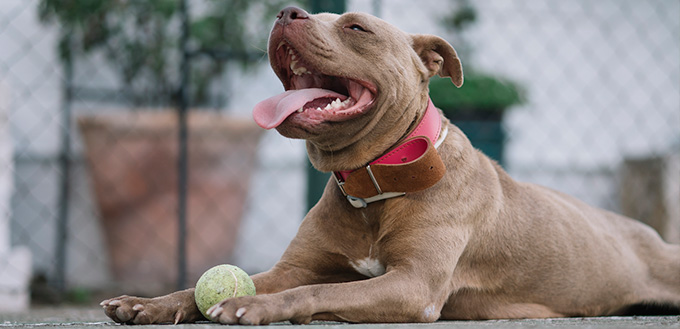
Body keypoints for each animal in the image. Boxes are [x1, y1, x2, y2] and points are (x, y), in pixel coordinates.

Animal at [99, 6, 680, 324]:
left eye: (357, 28)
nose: (286, 12)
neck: (374, 184)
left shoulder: (413, 285)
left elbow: (317, 292)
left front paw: (253, 308)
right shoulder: (294, 267)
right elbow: (238, 283)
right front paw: (149, 303)